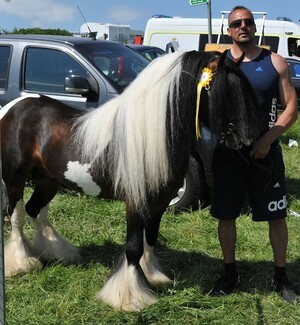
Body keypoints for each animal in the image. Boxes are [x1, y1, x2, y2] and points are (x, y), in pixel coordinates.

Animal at [0, 49, 262, 310]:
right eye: (227, 92)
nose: (250, 141)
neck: (150, 136)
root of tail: (12, 109)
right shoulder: (135, 202)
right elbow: (134, 247)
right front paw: (129, 296)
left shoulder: (159, 203)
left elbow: (150, 239)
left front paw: (152, 277)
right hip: (15, 180)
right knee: (17, 216)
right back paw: (22, 263)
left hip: (48, 180)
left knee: (36, 211)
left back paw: (55, 252)